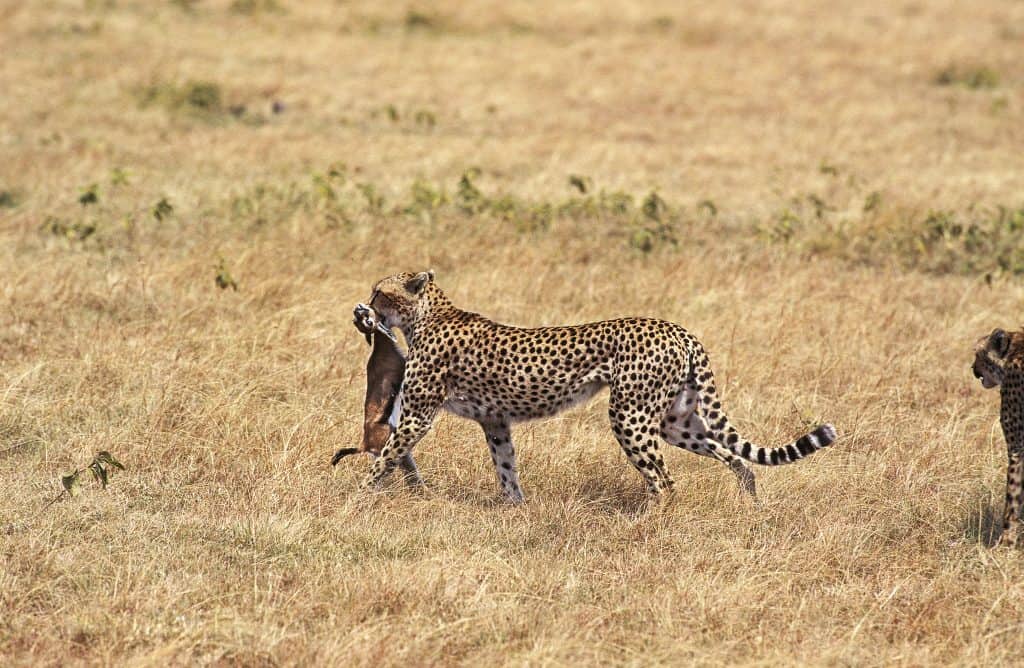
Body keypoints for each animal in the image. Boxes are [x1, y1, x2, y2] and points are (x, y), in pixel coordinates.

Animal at [343, 270, 838, 503]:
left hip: (630, 415)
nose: (361, 308)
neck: (428, 315)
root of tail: (677, 328)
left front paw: (357, 498)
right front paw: (516, 509)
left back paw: (649, 528)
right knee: (735, 458)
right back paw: (750, 506)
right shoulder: (496, 422)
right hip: (676, 420)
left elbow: (383, 459)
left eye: (379, 291)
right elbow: (506, 468)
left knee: (664, 480)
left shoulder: (417, 417)